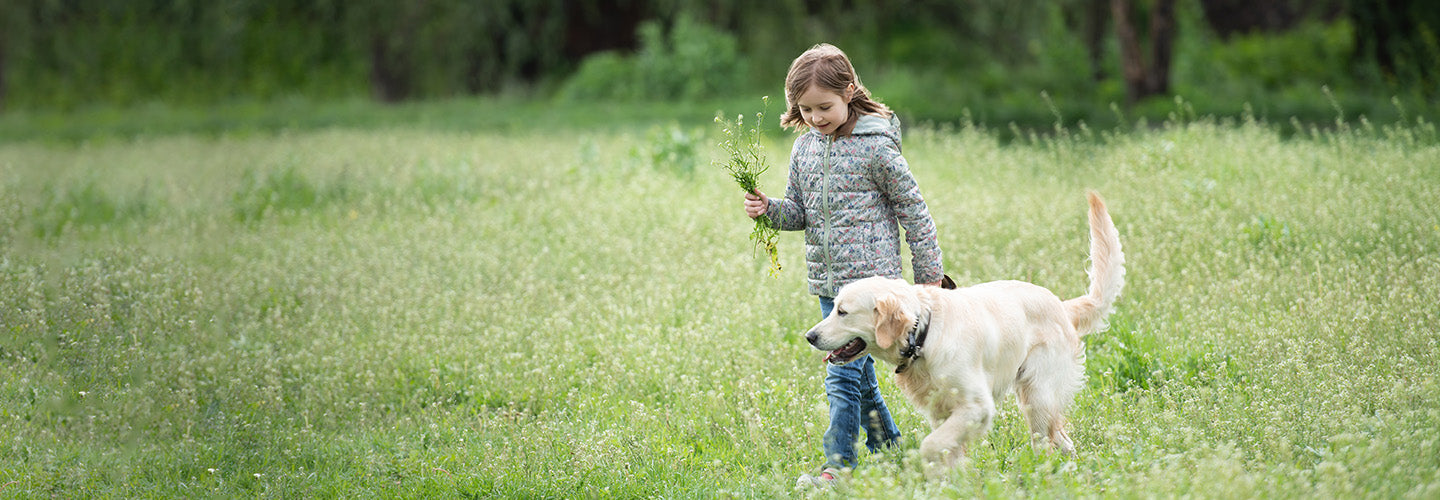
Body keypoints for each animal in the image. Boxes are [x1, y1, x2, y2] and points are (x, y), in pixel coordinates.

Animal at [806, 191, 1117, 472]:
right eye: (833, 307)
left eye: (843, 312)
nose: (810, 337)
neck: (923, 336)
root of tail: (1061, 305)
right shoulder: (942, 411)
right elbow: (947, 453)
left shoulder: (976, 407)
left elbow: (930, 446)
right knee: (1063, 440)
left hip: (1038, 395)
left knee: (1045, 441)